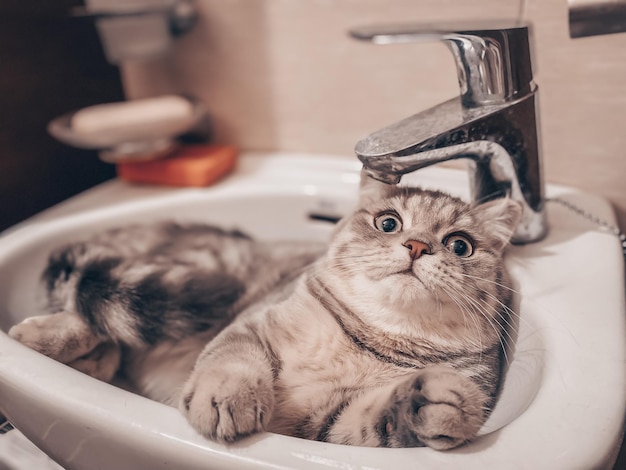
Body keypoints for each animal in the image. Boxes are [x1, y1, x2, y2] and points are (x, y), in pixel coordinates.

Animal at [8, 178, 520, 450]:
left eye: (460, 245)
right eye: (388, 222)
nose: (416, 246)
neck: (377, 341)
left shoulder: (327, 426)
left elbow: (379, 418)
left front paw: (440, 401)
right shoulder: (253, 325)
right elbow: (233, 361)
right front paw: (227, 397)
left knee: (109, 340)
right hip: (203, 283)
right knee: (89, 315)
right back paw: (34, 336)